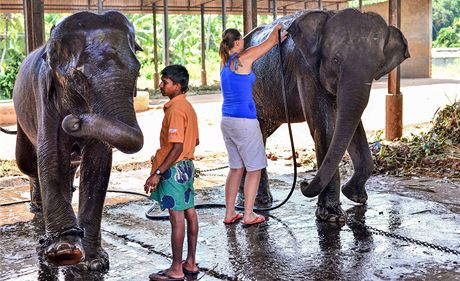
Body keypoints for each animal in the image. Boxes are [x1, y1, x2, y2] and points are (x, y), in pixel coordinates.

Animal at [13, 10, 144, 270]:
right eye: (78, 78)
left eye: (138, 71)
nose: (73, 121)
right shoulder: (45, 95)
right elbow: (51, 156)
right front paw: (64, 252)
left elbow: (98, 162)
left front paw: (93, 262)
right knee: (29, 164)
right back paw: (38, 212)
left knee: (70, 168)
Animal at [244, 8, 410, 221]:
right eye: (335, 60)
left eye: (379, 65)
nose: (303, 183)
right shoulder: (306, 71)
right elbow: (324, 128)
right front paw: (332, 216)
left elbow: (352, 125)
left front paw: (355, 197)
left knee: (261, 133)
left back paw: (261, 200)